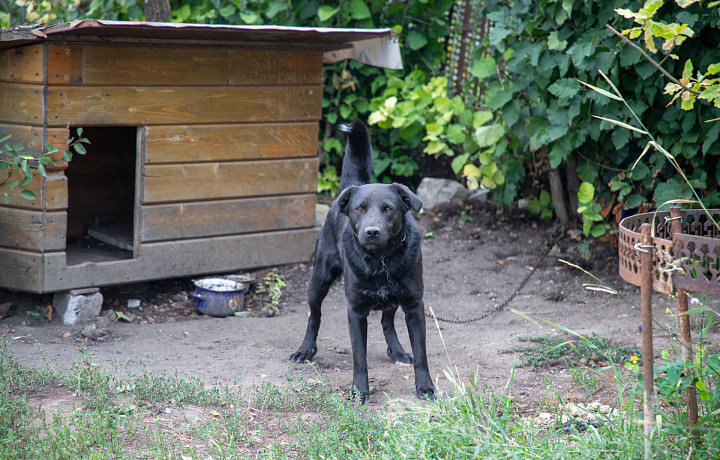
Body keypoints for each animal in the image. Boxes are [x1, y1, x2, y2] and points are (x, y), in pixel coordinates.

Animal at [290, 118, 436, 402]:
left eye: (389, 208)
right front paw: (359, 391)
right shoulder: (355, 311)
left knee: (386, 322)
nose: (372, 231)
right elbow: (360, 358)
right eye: (359, 209)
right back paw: (305, 350)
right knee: (314, 316)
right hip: (318, 280)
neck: (382, 261)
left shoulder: (414, 306)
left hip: (393, 299)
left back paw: (397, 351)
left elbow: (422, 354)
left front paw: (425, 387)